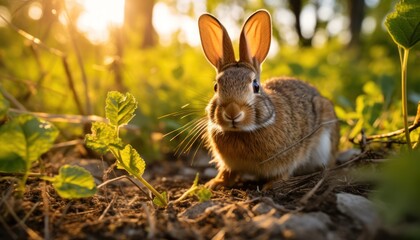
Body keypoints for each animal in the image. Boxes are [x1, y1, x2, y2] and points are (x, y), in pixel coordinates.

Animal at [199, 8, 340, 189]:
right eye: (216, 87)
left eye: (255, 86)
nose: (232, 112)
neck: (242, 131)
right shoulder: (230, 164)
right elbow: (228, 173)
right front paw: (214, 183)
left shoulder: (287, 158)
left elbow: (282, 174)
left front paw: (270, 186)